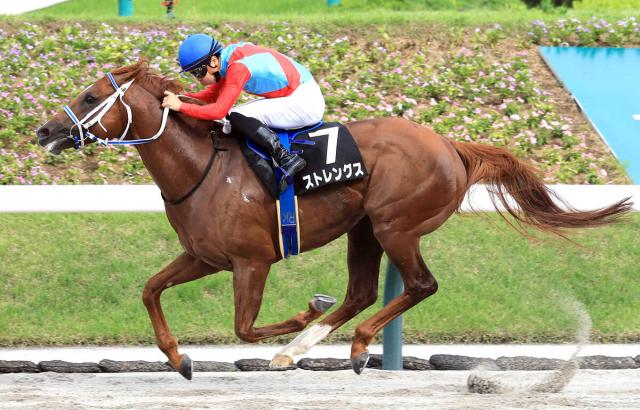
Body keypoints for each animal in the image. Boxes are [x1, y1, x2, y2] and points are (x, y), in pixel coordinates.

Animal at [36, 60, 631, 379]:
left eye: (90, 96)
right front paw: (179, 358)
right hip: (364, 229)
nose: (45, 132)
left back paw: (356, 345)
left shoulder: (251, 262)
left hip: (396, 225)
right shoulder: (204, 256)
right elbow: (150, 289)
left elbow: (244, 326)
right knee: (363, 291)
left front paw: (302, 313)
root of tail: (450, 146)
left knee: (419, 284)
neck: (202, 168)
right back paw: (310, 346)